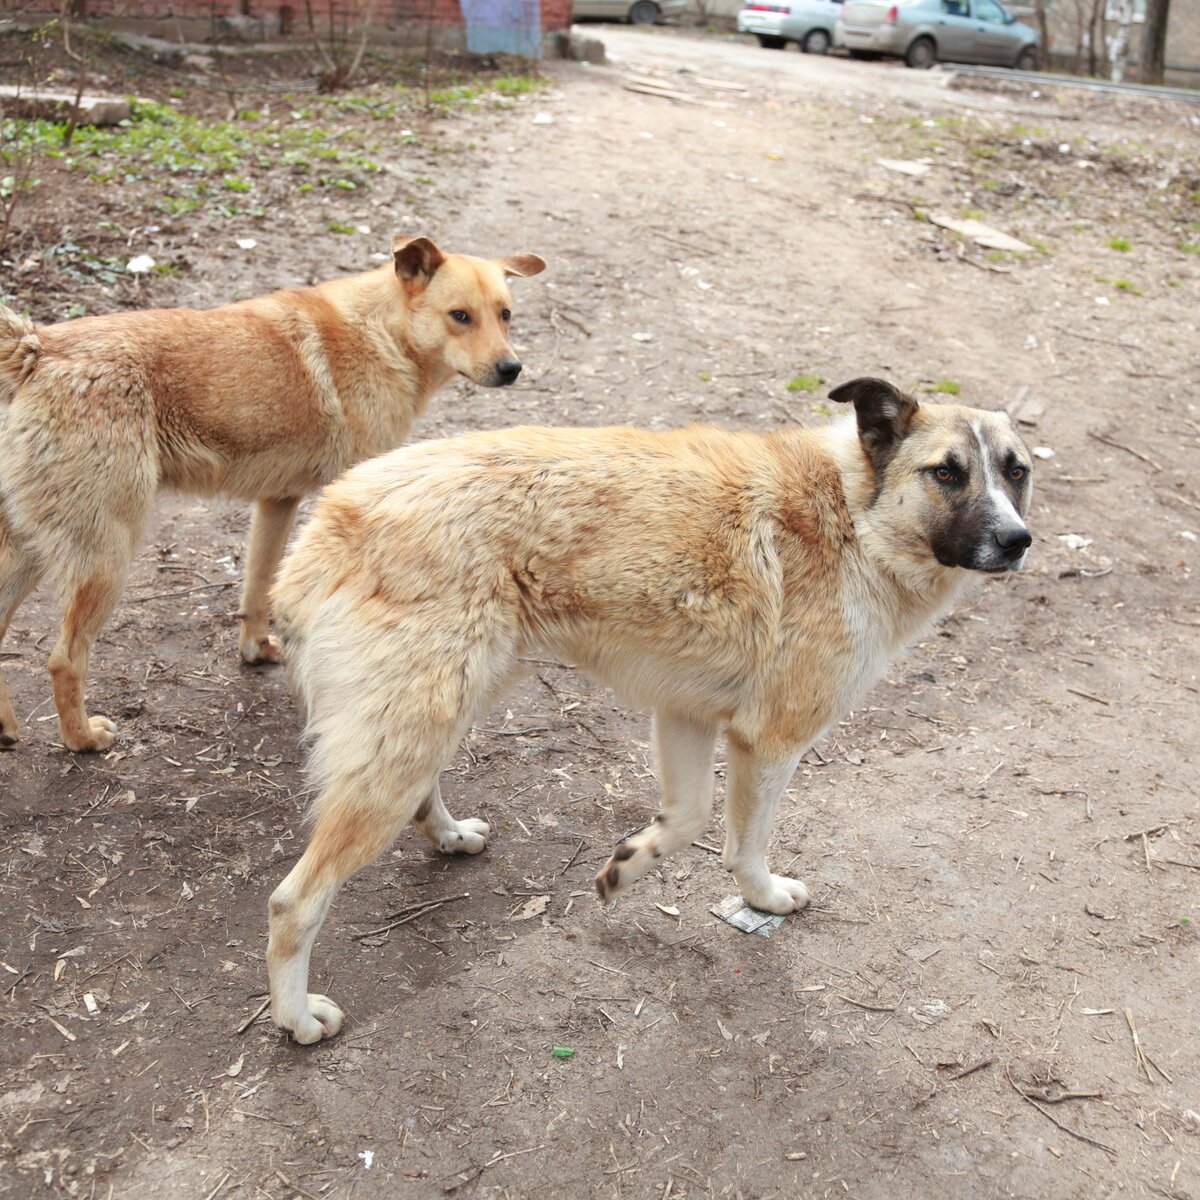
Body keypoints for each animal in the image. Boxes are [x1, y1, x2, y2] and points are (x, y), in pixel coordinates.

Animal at [0, 236, 544, 748]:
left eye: (505, 315)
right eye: (460, 316)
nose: (512, 368)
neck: (381, 334)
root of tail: (39, 346)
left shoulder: (277, 503)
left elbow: (258, 589)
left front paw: (256, 651)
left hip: (28, 555)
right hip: (106, 560)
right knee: (64, 660)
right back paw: (82, 739)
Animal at [265, 379, 1032, 1046]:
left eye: (1016, 472)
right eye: (947, 473)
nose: (1018, 540)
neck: (854, 514)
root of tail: (331, 519)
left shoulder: (685, 713)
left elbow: (686, 819)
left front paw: (626, 867)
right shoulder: (770, 739)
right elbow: (745, 844)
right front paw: (763, 898)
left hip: (445, 709)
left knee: (421, 794)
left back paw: (450, 835)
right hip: (410, 736)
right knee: (293, 902)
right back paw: (297, 1018)